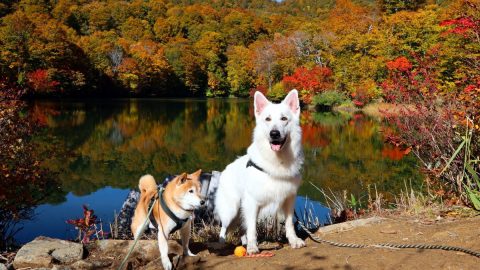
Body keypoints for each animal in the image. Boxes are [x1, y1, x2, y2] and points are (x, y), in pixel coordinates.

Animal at [216, 89, 306, 254]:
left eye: (284, 118)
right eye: (267, 119)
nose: (274, 133)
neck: (276, 162)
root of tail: (225, 169)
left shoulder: (289, 200)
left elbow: (289, 224)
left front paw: (294, 240)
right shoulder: (252, 203)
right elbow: (252, 228)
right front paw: (253, 247)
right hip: (231, 210)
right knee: (224, 228)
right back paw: (222, 243)